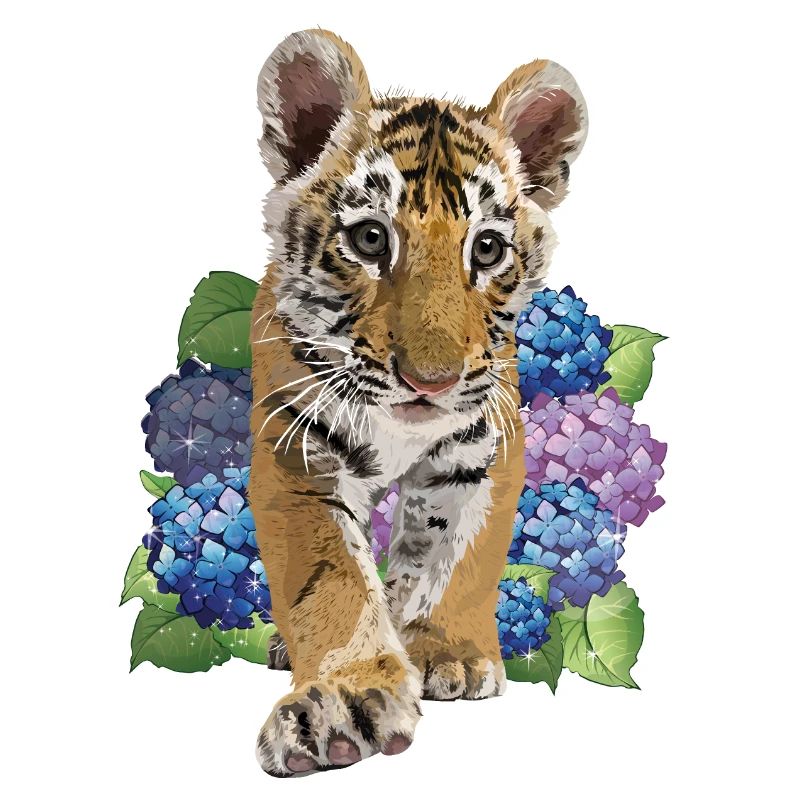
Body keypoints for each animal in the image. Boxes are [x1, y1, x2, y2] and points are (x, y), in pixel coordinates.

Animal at [250, 29, 587, 777]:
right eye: (371, 238)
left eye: (486, 249)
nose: (430, 381)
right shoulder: (298, 453)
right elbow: (335, 580)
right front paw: (343, 701)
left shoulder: (482, 446)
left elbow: (458, 554)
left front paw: (448, 651)